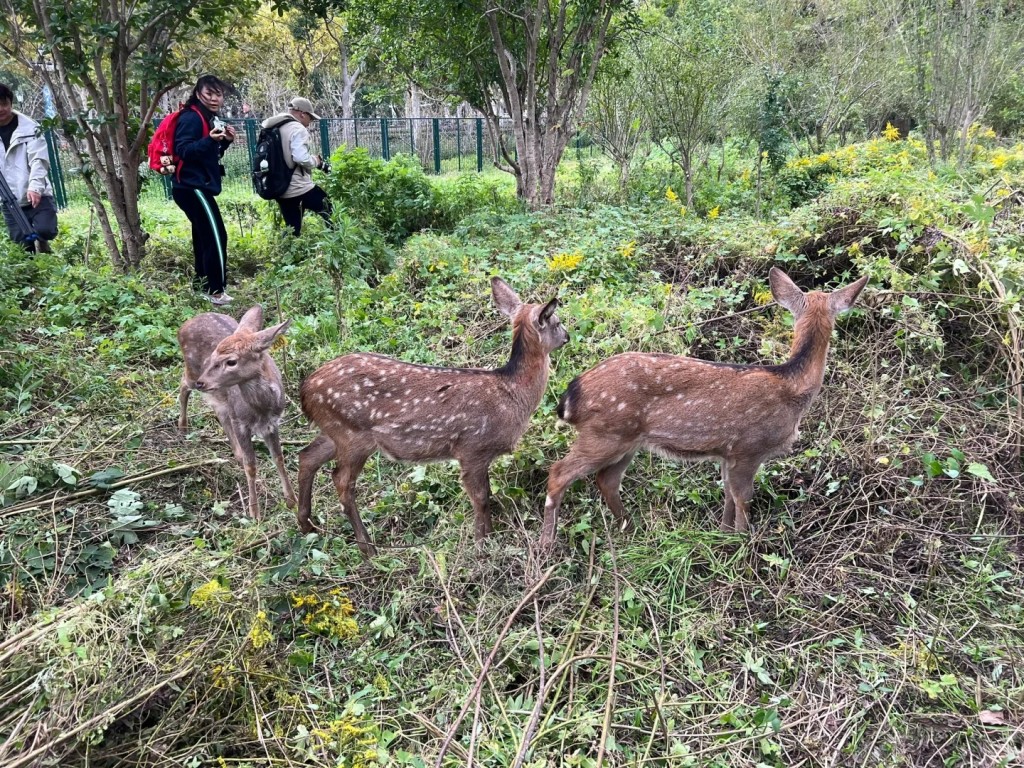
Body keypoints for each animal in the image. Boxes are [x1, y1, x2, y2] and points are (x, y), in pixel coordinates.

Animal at [176, 305, 294, 518]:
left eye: (231, 361)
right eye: (212, 357)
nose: (203, 382)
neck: (261, 410)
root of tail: (184, 325)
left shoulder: (272, 424)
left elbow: (279, 458)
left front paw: (292, 501)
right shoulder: (241, 423)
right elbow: (251, 465)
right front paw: (254, 513)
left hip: (218, 392)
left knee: (219, 409)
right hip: (192, 372)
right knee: (183, 384)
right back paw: (183, 426)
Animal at [296, 280, 569, 557]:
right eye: (557, 321)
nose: (567, 336)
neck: (512, 394)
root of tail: (305, 390)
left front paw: (488, 538)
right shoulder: (472, 448)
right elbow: (481, 498)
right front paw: (481, 544)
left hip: (335, 431)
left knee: (307, 456)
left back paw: (308, 526)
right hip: (353, 435)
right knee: (341, 481)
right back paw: (368, 548)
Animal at [540, 268, 868, 548]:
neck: (791, 388)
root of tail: (571, 394)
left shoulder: (728, 453)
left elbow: (728, 495)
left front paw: (723, 533)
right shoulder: (749, 448)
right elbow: (743, 497)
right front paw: (742, 541)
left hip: (627, 440)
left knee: (606, 480)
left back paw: (629, 528)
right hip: (604, 433)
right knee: (558, 473)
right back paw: (547, 543)